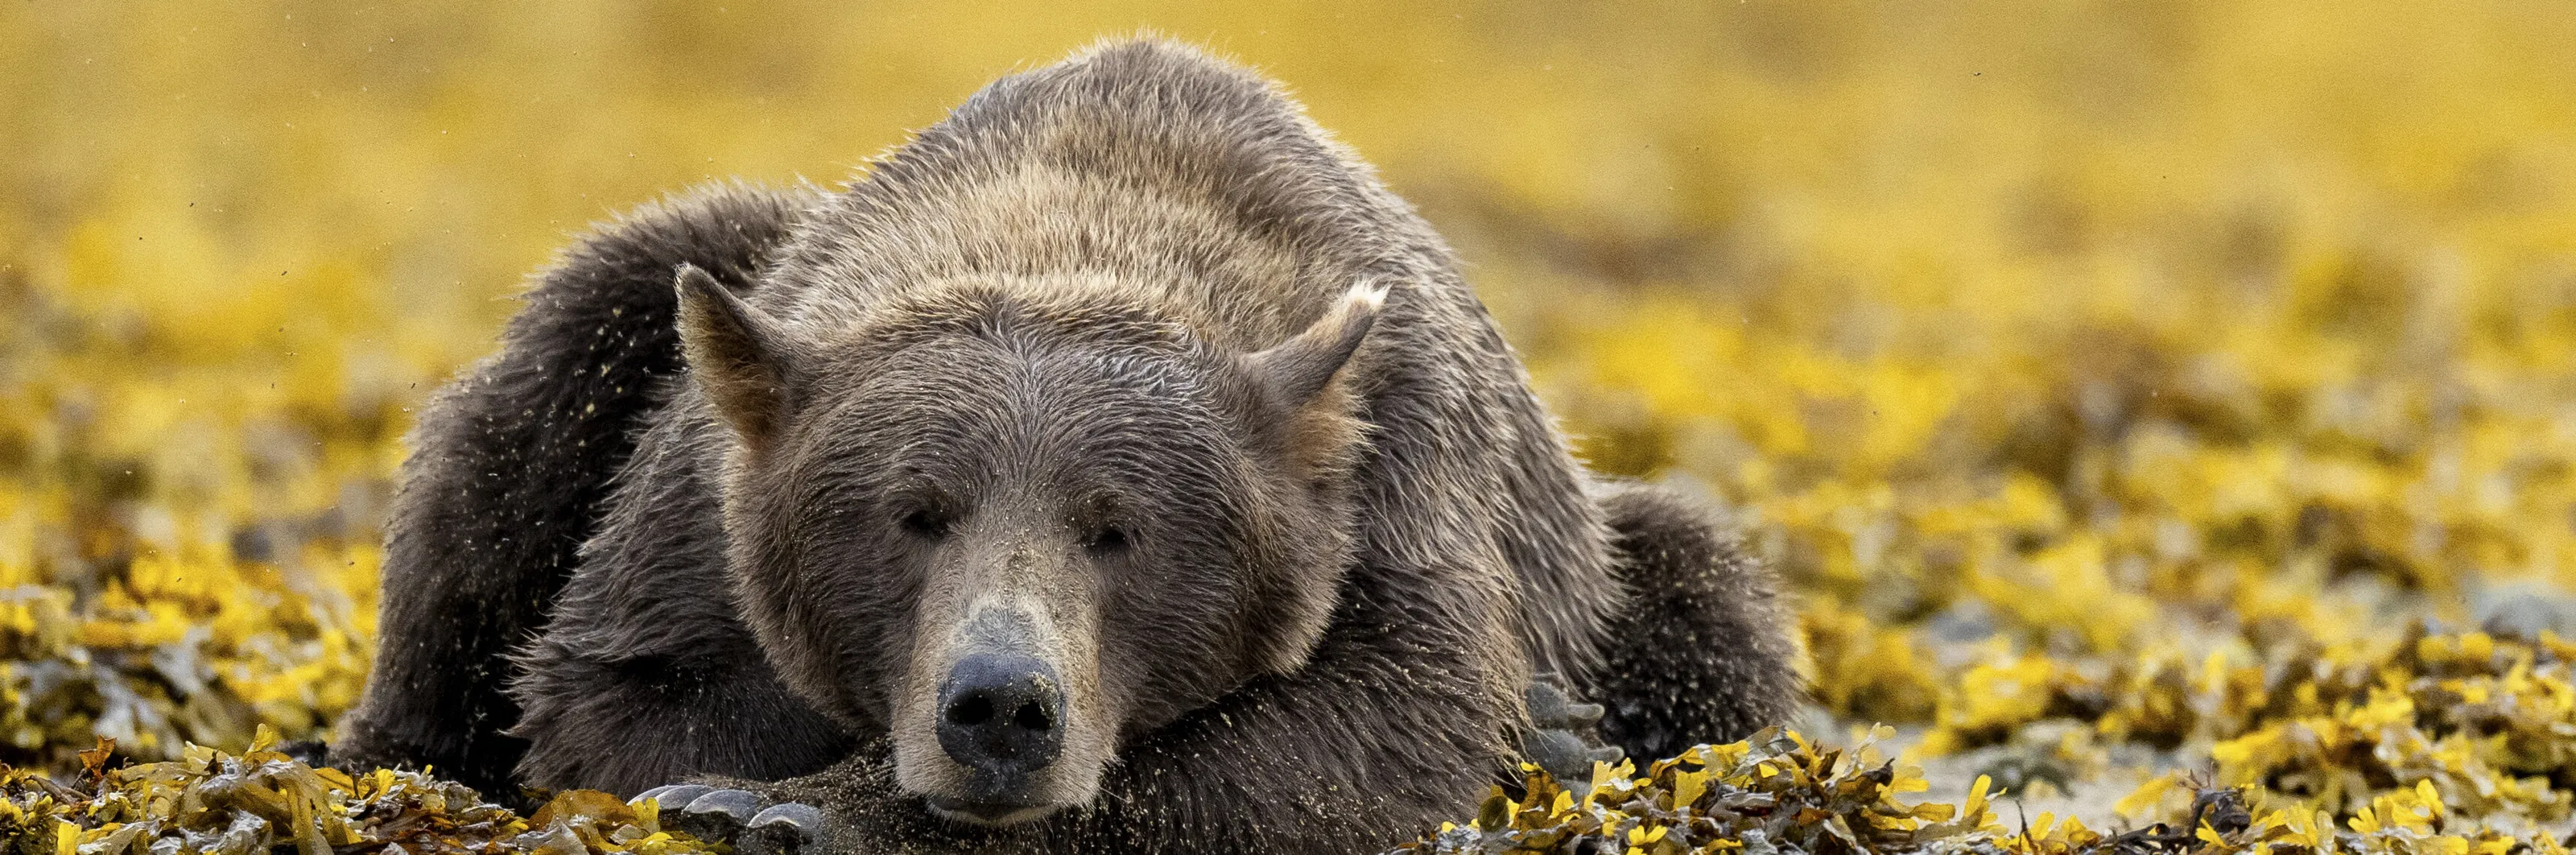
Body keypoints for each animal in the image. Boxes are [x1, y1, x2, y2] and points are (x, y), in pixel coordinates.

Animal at [332, 38, 1801, 854]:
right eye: (912, 511)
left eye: (1120, 528)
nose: (999, 704)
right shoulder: (693, 502)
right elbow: (616, 689)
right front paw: (759, 786)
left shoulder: (1396, 484)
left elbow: (1370, 720)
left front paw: (808, 807)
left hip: (1606, 558)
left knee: (1702, 592)